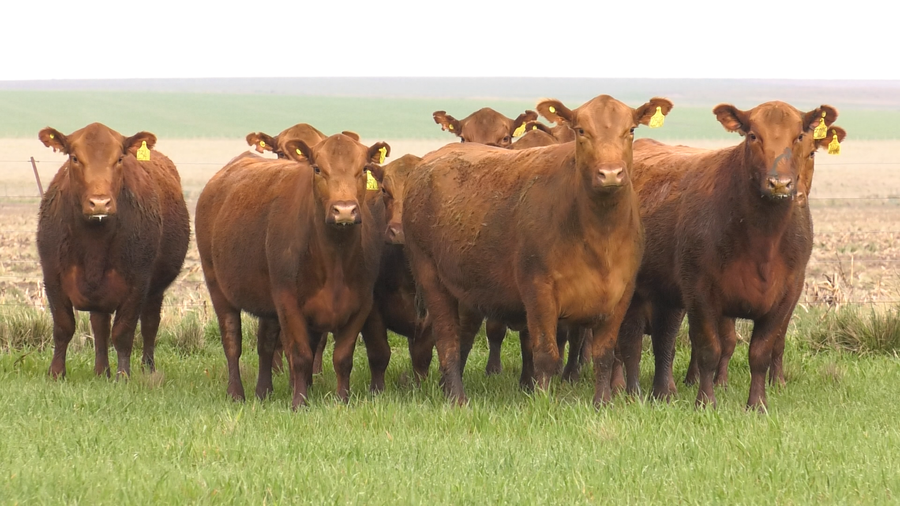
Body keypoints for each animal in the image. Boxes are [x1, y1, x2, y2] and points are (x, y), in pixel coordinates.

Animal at [37, 123, 190, 379]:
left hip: (155, 288)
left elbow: (123, 333)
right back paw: (101, 371)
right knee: (100, 327)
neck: (93, 245)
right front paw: (56, 373)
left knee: (149, 324)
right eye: (74, 157)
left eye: (119, 158)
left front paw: (123, 376)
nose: (99, 203)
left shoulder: (137, 284)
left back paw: (147, 369)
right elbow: (63, 327)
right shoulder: (52, 278)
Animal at [195, 133, 390, 409]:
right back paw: (236, 394)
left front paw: (342, 400)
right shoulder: (288, 302)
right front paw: (300, 401)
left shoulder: (361, 303)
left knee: (265, 344)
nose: (344, 210)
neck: (335, 259)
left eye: (363, 169)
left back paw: (263, 391)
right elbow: (300, 355)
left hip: (268, 299)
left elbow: (342, 358)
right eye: (318, 169)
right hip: (218, 286)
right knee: (232, 341)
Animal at [405, 94, 673, 405]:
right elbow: (545, 354)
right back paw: (457, 398)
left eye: (630, 130)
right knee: (447, 338)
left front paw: (602, 403)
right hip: (430, 277)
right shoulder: (538, 290)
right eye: (581, 131)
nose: (610, 173)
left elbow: (604, 354)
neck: (599, 238)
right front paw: (542, 401)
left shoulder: (621, 294)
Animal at [614, 101, 838, 409]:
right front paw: (706, 401)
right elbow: (710, 348)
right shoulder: (700, 292)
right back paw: (630, 392)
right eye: (753, 136)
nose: (779, 184)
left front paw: (757, 404)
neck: (762, 241)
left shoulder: (787, 293)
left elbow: (761, 352)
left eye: (799, 137)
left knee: (662, 340)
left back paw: (662, 392)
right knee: (631, 342)